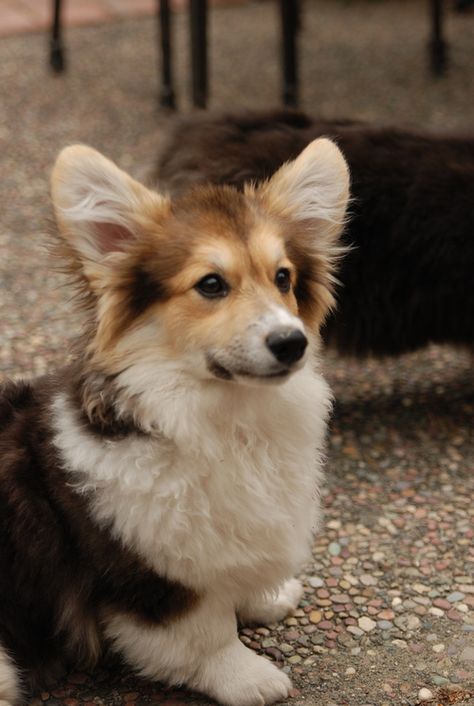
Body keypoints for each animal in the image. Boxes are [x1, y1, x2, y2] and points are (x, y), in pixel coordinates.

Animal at [0, 139, 348, 704]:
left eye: (283, 278)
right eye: (211, 284)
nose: (292, 342)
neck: (218, 416)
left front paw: (266, 598)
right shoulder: (154, 577)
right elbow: (205, 632)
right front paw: (248, 677)